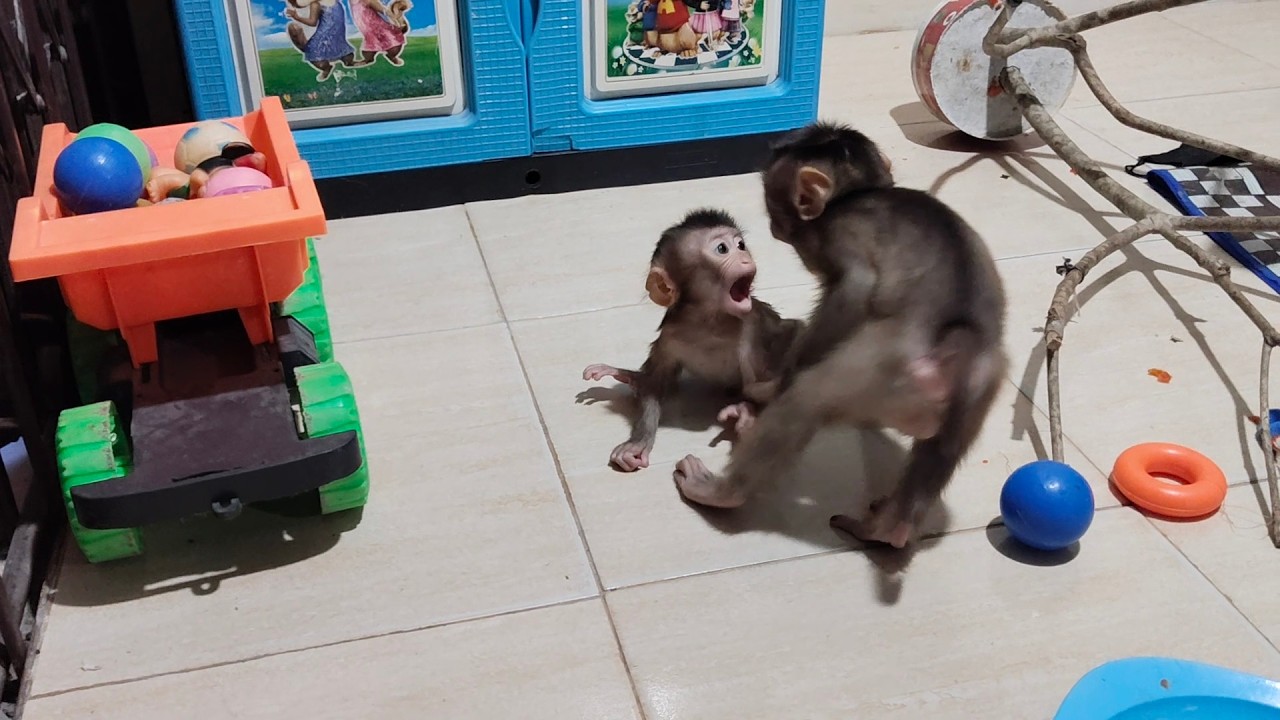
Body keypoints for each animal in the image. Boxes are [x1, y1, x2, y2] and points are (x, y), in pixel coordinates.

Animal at [583, 208, 803, 472]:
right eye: (722, 249)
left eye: (740, 245)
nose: (745, 258)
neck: (711, 323)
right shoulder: (671, 335)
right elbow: (655, 385)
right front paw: (637, 443)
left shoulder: (754, 328)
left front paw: (748, 412)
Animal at [672, 121, 1007, 551]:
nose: (772, 227)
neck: (858, 194)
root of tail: (958, 351)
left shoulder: (837, 234)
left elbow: (855, 288)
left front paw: (776, 381)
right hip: (979, 390)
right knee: (942, 449)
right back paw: (888, 529)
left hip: (878, 370)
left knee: (808, 398)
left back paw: (721, 491)